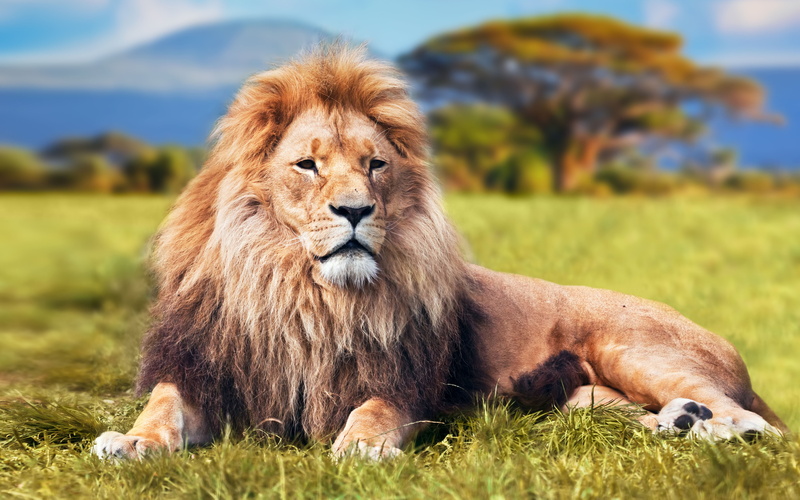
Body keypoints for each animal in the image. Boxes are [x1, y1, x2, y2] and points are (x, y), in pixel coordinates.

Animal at [93, 46, 787, 461]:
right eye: (308, 165)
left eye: (375, 165)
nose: (355, 211)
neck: (303, 294)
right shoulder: (202, 370)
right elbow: (163, 407)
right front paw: (129, 442)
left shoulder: (403, 383)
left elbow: (374, 410)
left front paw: (359, 447)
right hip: (586, 401)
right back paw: (681, 423)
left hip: (634, 348)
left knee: (762, 423)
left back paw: (720, 426)